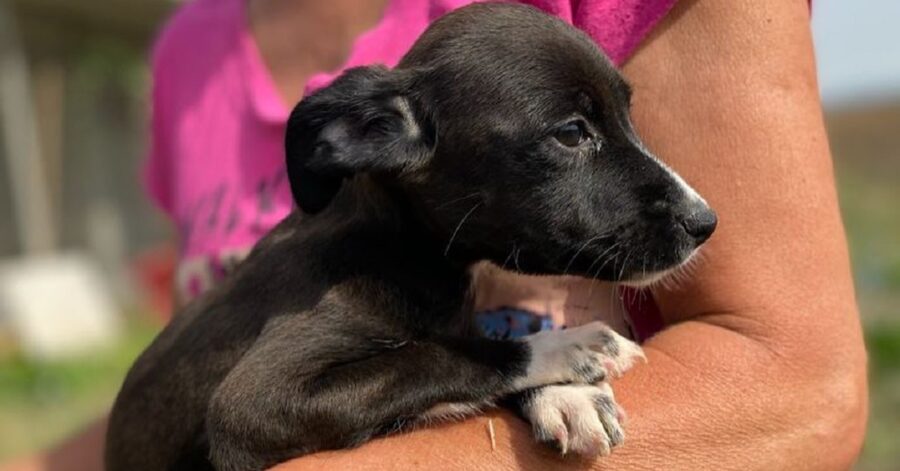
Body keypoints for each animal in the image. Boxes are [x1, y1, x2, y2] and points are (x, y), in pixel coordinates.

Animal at [107, 4, 716, 471]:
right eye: (571, 133)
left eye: (629, 117)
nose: (705, 223)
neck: (395, 249)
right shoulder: (254, 404)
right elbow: (434, 358)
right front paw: (570, 348)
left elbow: (456, 345)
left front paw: (564, 394)